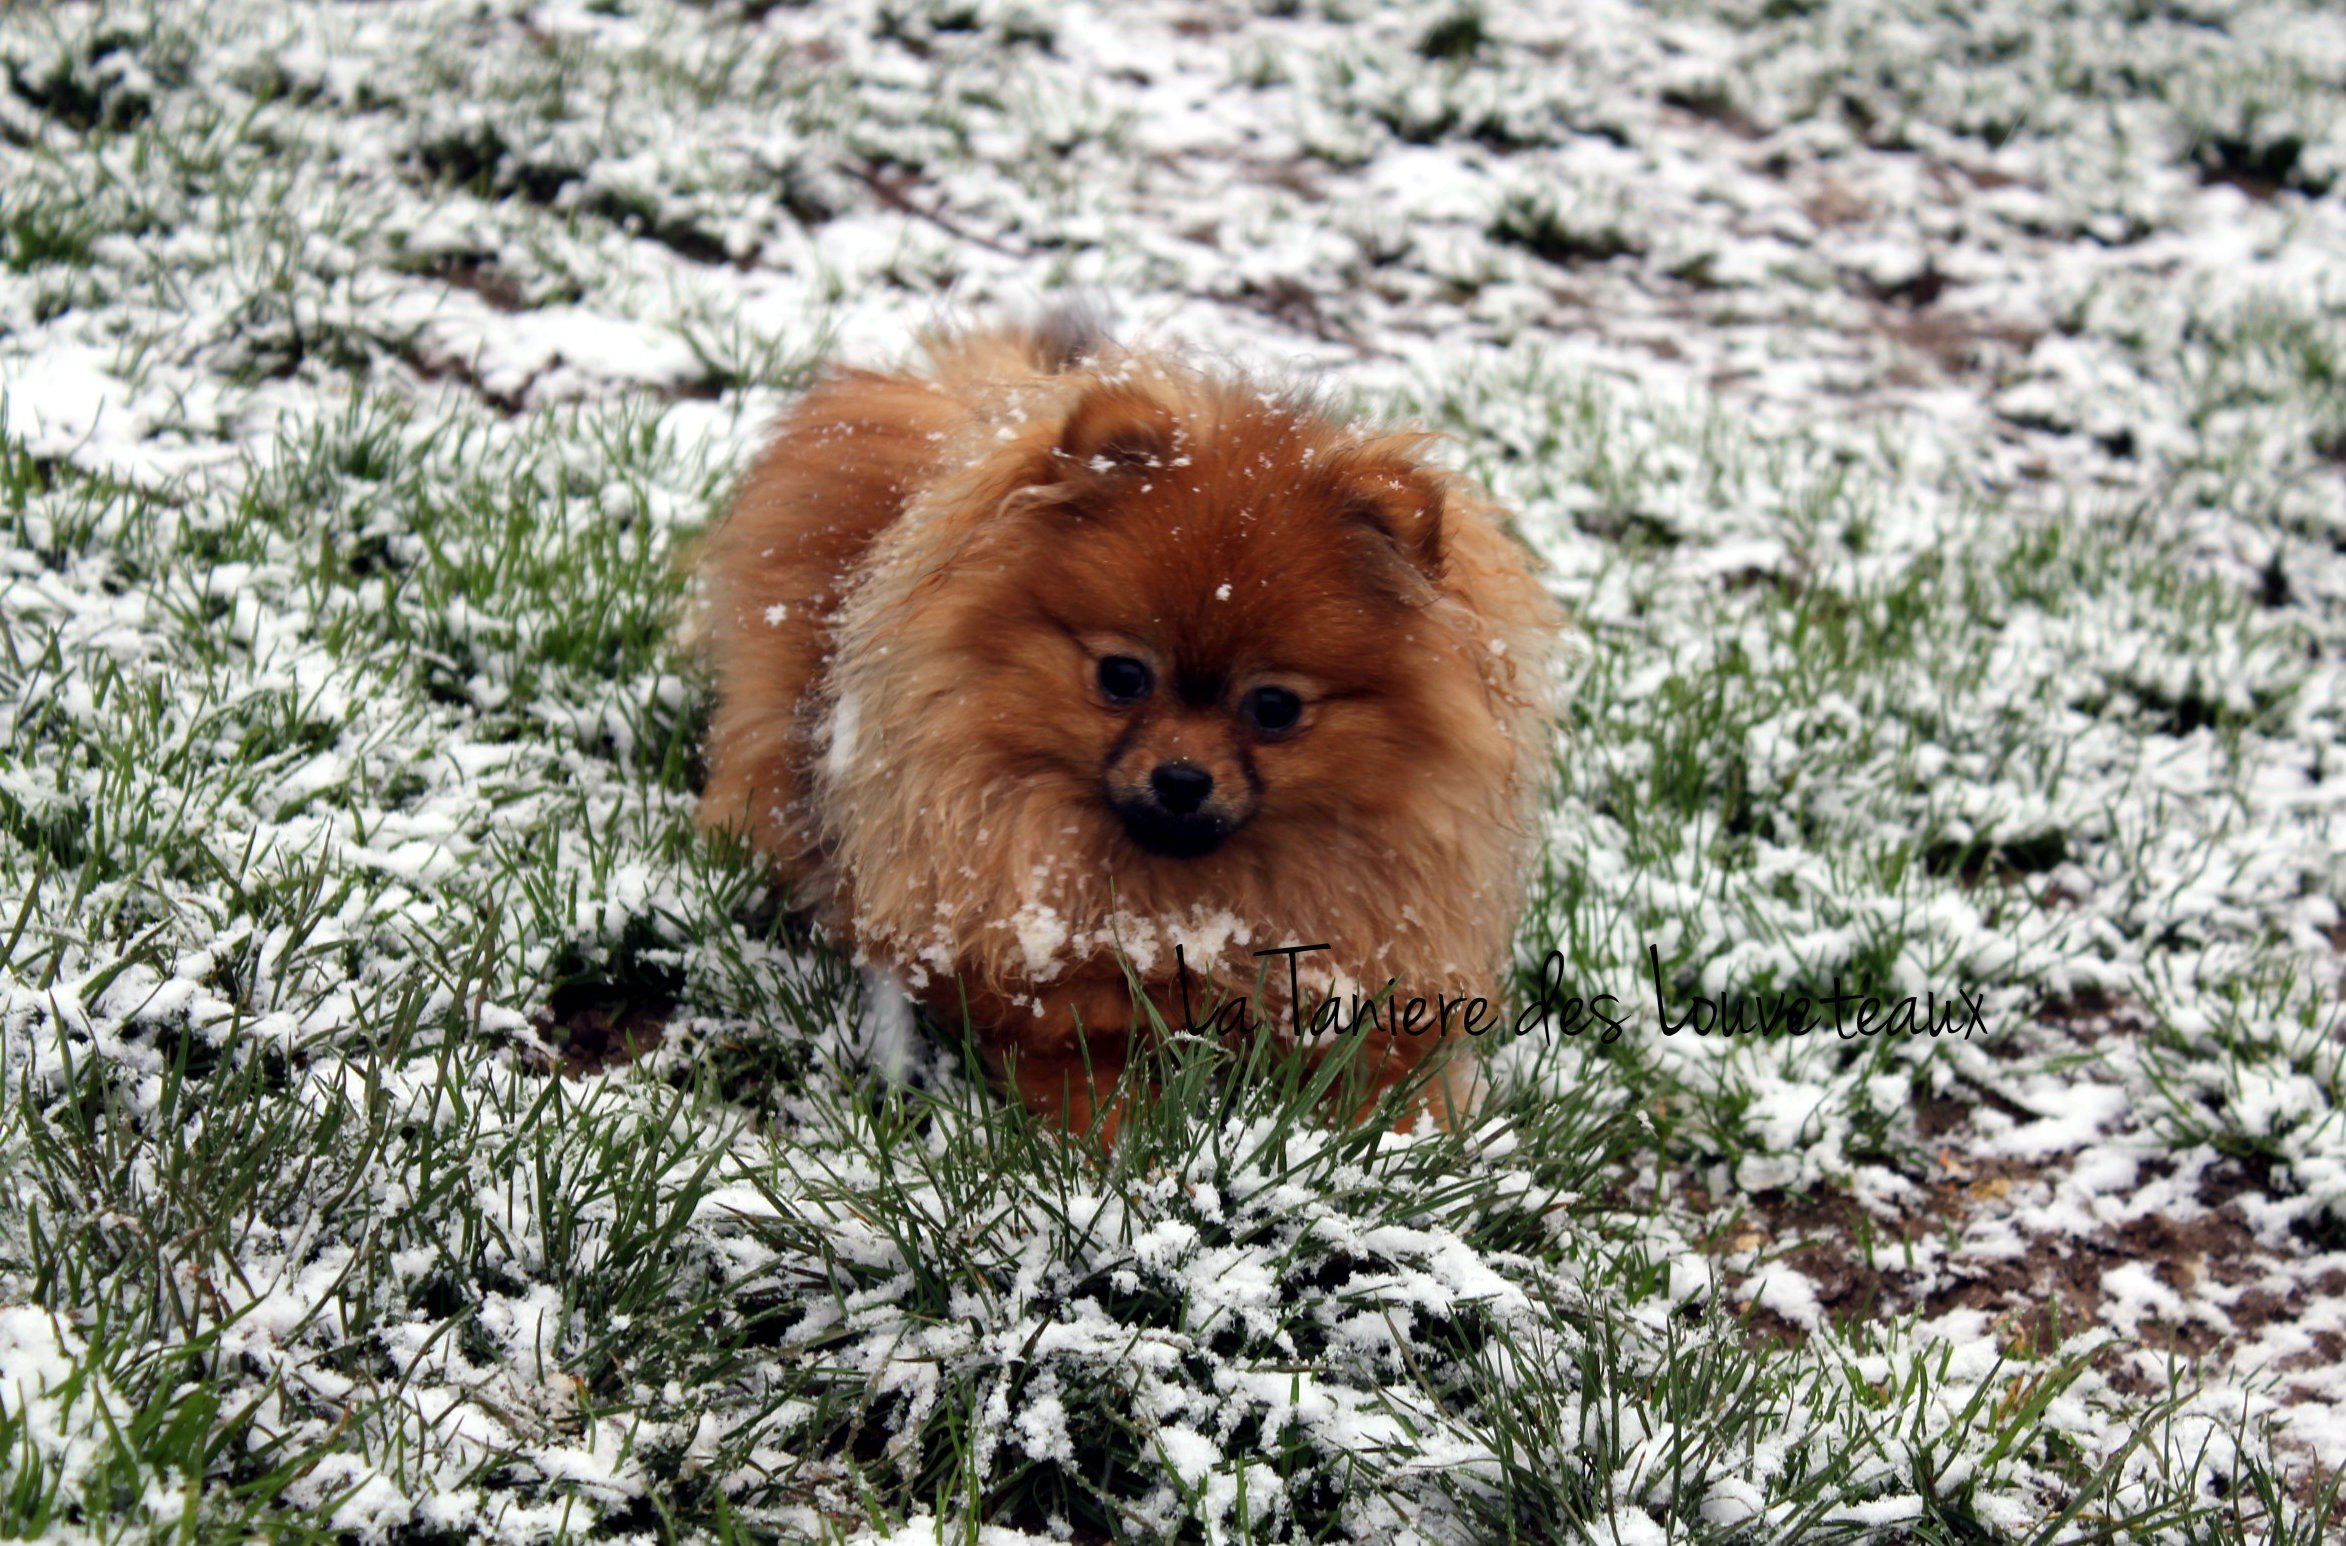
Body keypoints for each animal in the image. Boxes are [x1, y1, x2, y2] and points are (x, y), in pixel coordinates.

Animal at [694, 314, 1557, 1135]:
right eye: (1122, 676)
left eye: (1274, 708)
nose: (1181, 778)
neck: (1187, 909)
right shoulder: (1039, 1005)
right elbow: (1098, 1084)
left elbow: (1397, 1090)